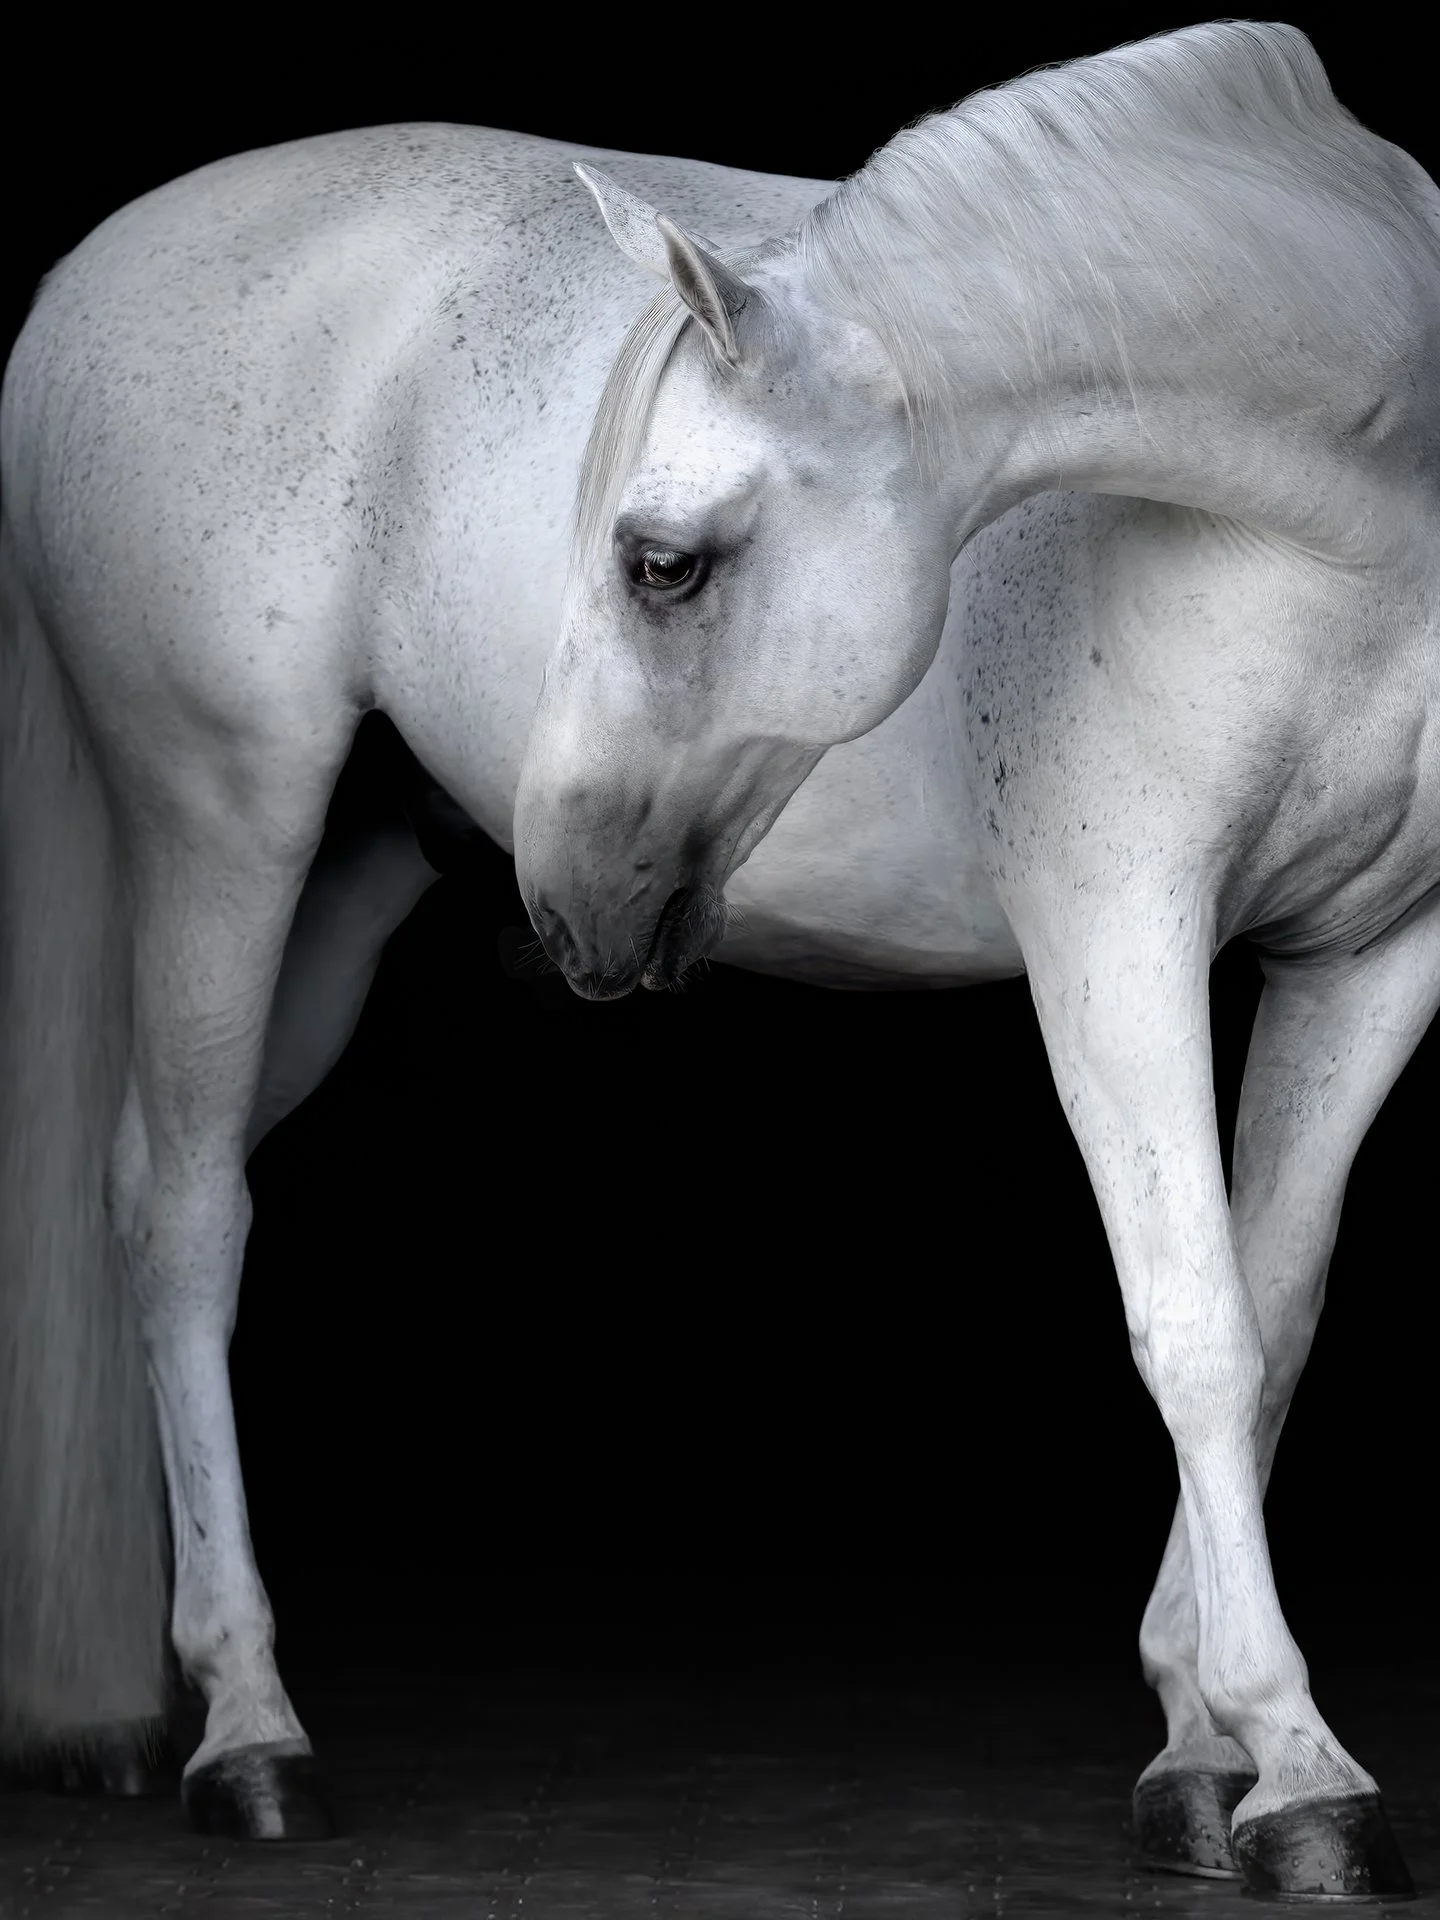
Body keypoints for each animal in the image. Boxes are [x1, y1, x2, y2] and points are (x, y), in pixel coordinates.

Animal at [0, 18, 1431, 1905]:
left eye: (658, 561)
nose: (568, 904)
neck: (1337, 542)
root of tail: (76, 282)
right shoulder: (1120, 926)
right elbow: (1194, 1326)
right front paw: (1301, 1765)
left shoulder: (1373, 958)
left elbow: (1273, 1314)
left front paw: (1203, 1743)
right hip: (221, 828)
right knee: (179, 1217)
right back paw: (250, 1732)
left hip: (342, 888)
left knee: (153, 1177)